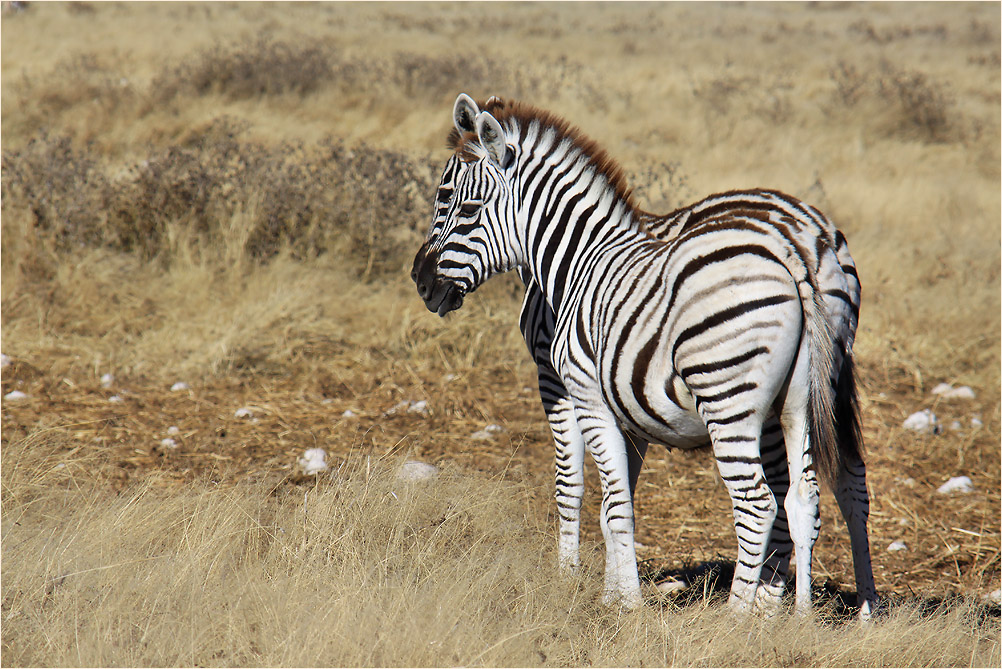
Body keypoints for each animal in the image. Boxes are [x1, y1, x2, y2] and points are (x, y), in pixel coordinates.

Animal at [410, 92, 873, 616]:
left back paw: (738, 616)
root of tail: (804, 249)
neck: (580, 259)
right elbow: (620, 499)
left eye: (462, 205)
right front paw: (612, 592)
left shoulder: (571, 388)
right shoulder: (627, 405)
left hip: (729, 396)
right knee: (814, 493)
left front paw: (605, 595)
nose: (421, 282)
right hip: (805, 397)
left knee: (758, 502)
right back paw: (814, 614)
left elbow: (588, 492)